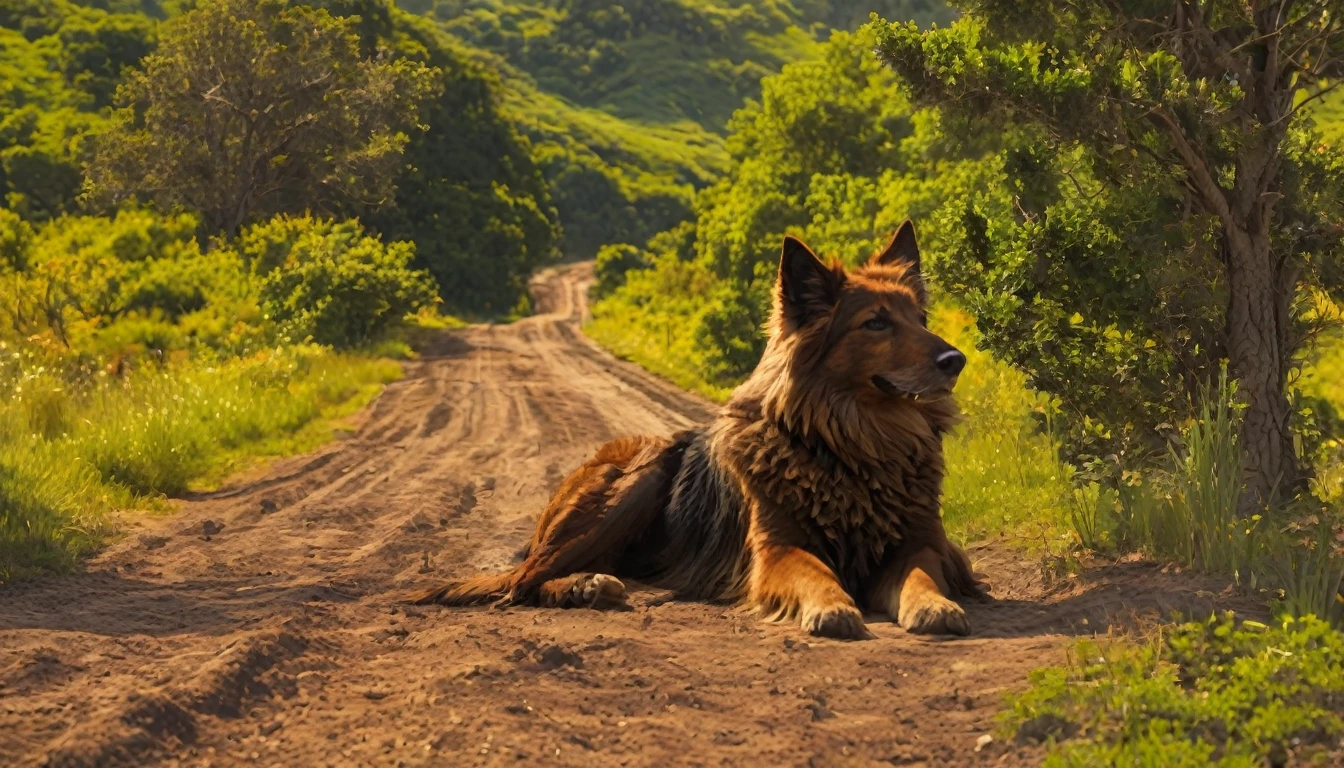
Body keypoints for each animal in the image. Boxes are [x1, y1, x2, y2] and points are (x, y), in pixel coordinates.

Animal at [413, 223, 994, 642]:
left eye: (919, 319)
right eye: (875, 323)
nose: (956, 361)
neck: (856, 443)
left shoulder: (922, 541)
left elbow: (922, 572)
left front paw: (935, 603)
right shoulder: (775, 549)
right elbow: (814, 569)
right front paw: (831, 606)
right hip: (640, 473)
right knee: (523, 583)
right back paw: (584, 586)